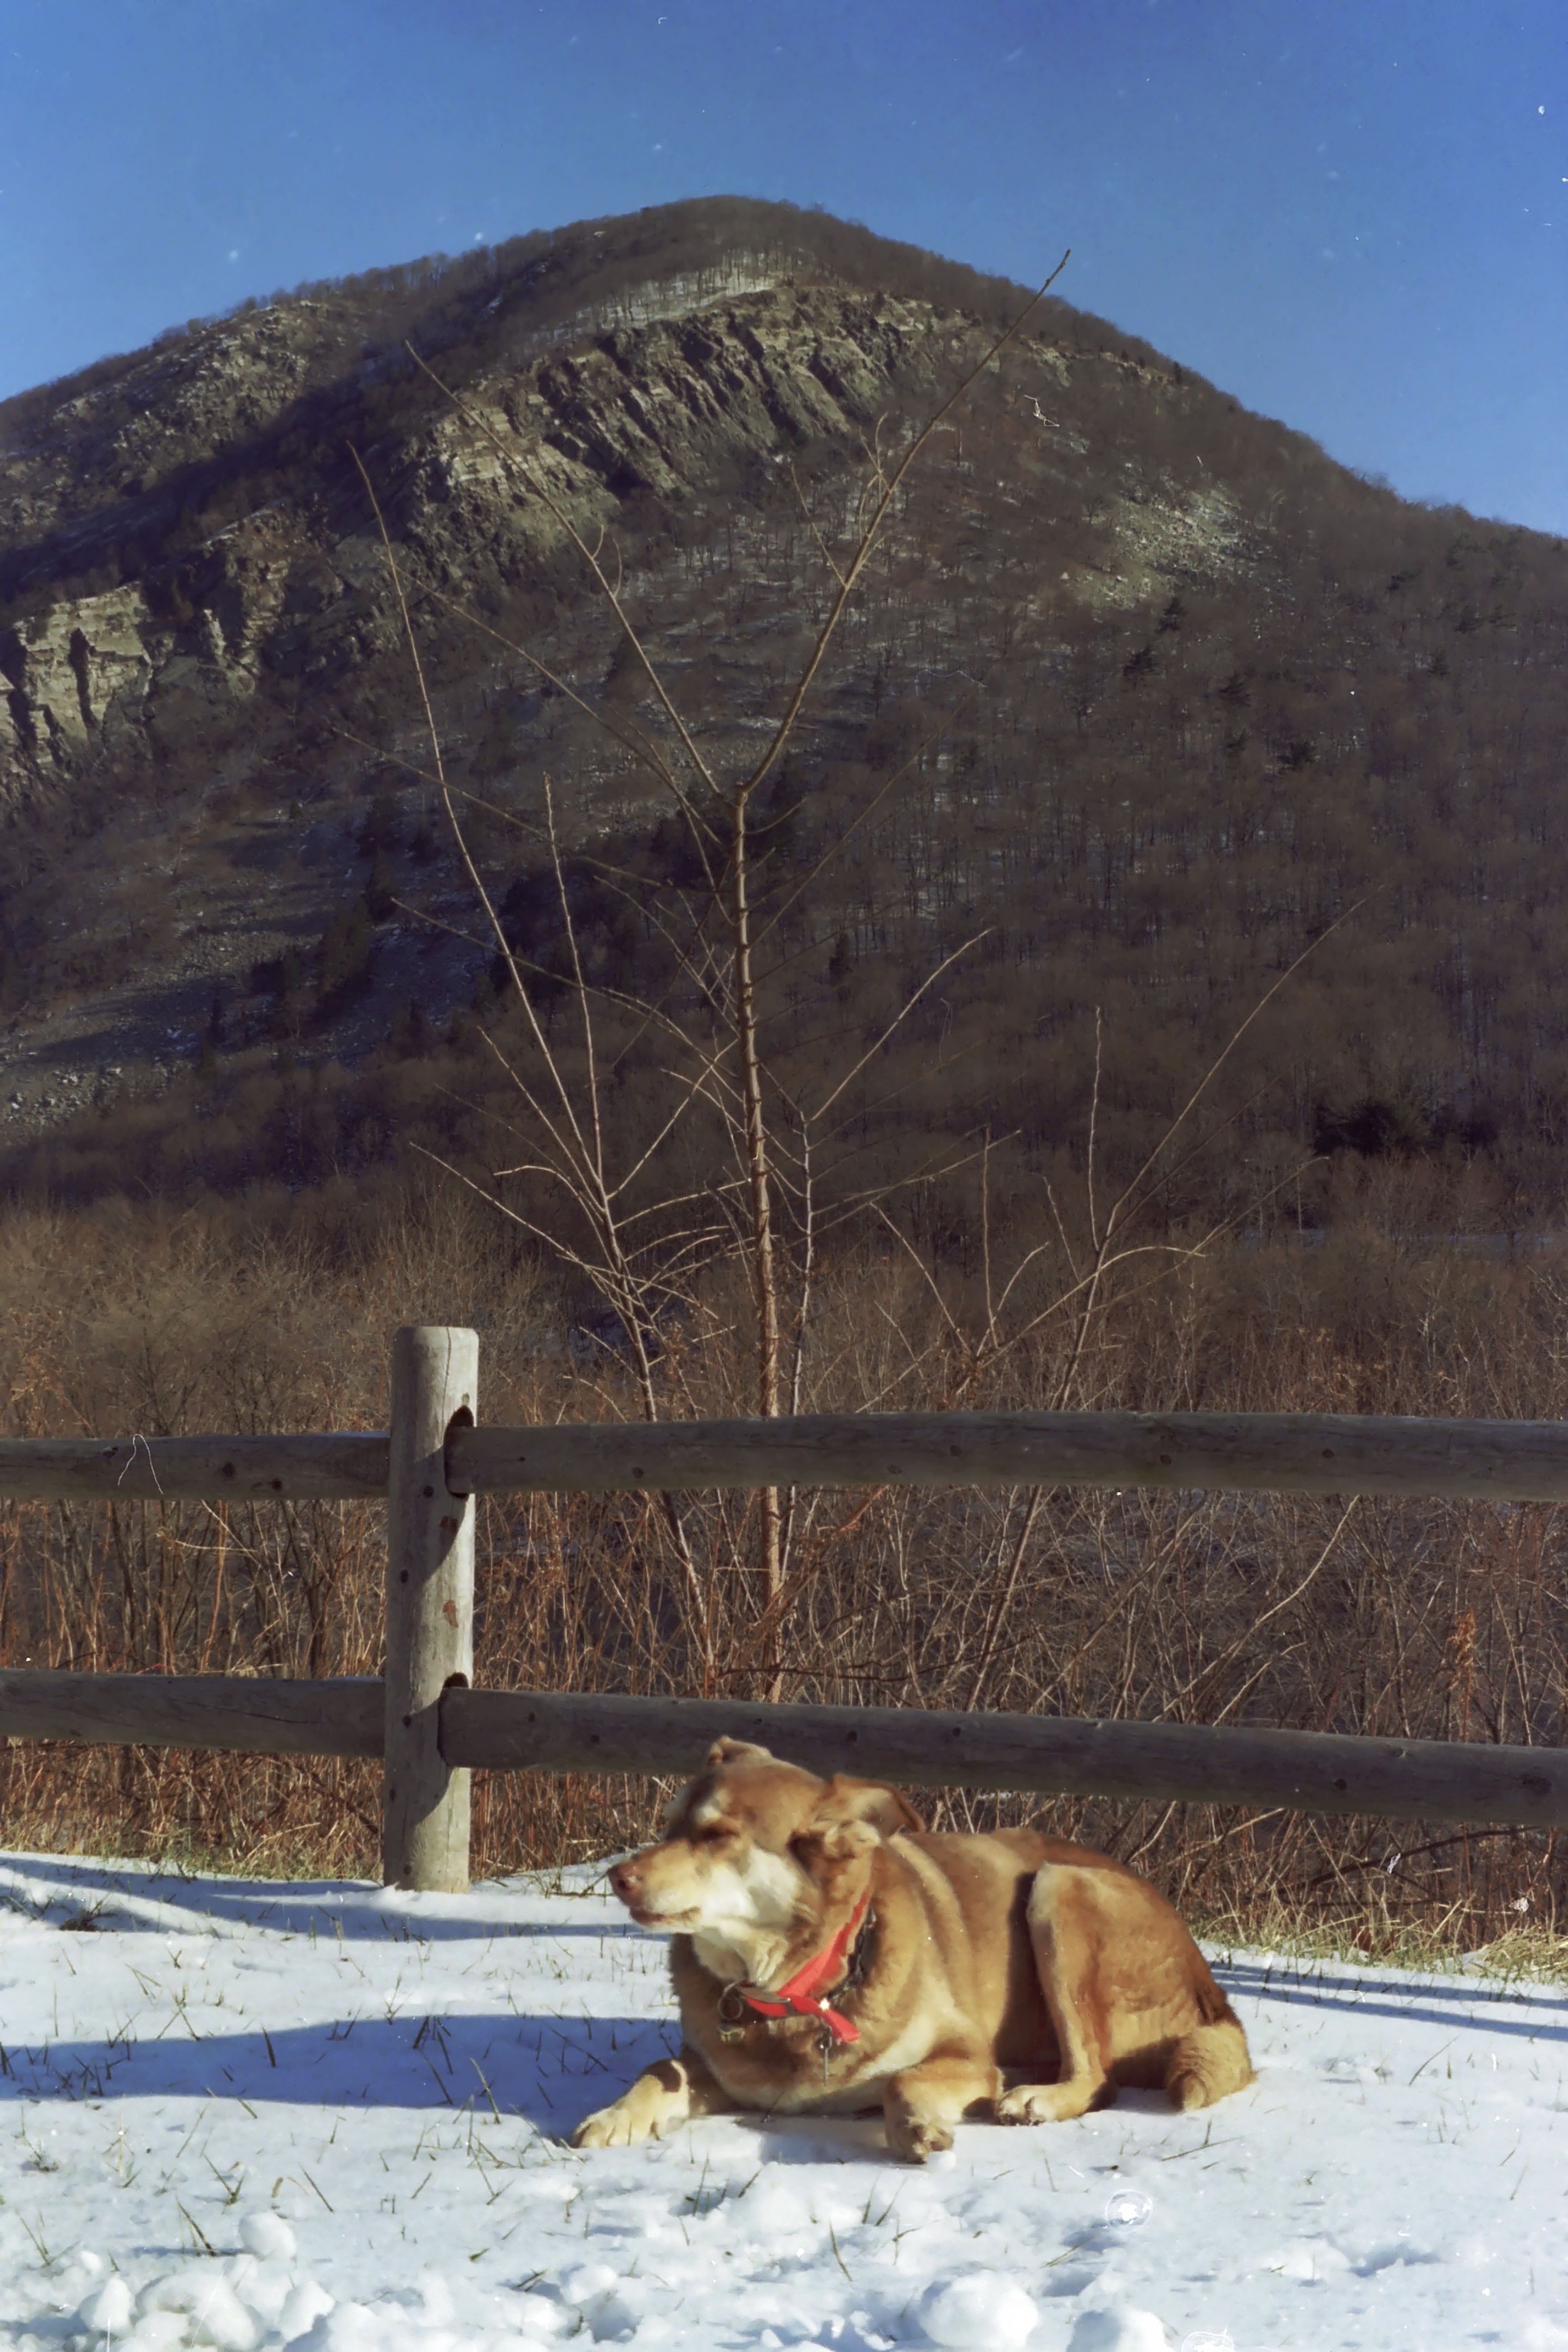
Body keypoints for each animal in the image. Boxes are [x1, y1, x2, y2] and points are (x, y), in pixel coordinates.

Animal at [571, 1731, 1260, 2164]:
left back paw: (1036, 2096)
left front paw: (917, 2126)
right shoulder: (715, 2066)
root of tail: (1214, 1996)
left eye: (717, 1835)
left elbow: (904, 2082)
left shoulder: (964, 2052)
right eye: (669, 1826)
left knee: (1098, 2077)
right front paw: (613, 2117)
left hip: (1059, 1891)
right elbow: (659, 2068)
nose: (617, 1877)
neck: (800, 1990)